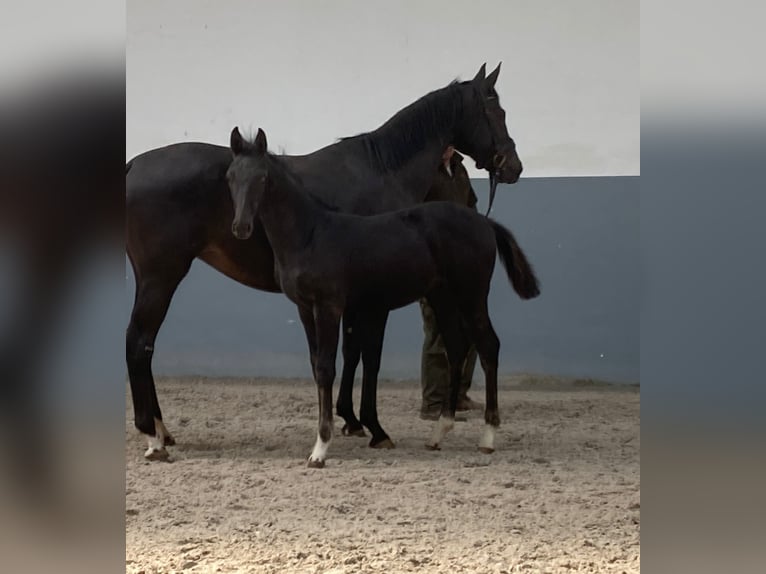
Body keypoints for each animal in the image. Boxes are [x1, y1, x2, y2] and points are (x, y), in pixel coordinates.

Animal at [228, 129, 540, 468]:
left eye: (262, 178)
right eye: (230, 176)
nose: (241, 227)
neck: (310, 235)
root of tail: (484, 222)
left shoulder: (329, 307)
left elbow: (327, 367)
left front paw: (320, 449)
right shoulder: (304, 309)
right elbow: (316, 366)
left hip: (472, 295)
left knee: (488, 347)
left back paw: (488, 437)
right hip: (442, 297)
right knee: (456, 349)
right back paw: (439, 432)